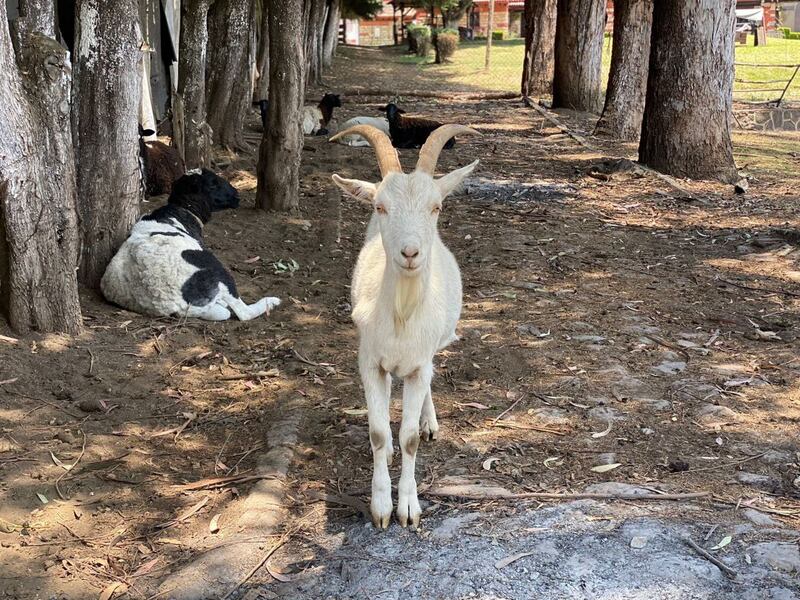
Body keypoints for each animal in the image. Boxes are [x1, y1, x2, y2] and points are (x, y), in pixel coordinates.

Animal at [101, 169, 280, 321]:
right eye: (213, 184)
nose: (236, 195)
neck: (181, 211)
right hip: (216, 270)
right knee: (243, 312)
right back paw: (271, 301)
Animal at [329, 124, 479, 528]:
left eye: (436, 207)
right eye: (381, 206)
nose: (410, 253)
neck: (401, 316)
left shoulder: (418, 364)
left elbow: (409, 436)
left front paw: (408, 508)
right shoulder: (369, 361)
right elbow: (379, 432)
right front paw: (381, 506)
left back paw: (429, 422)